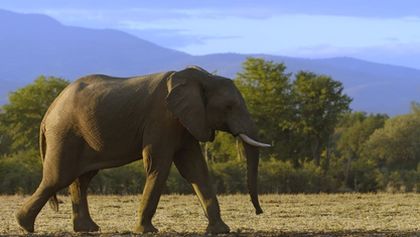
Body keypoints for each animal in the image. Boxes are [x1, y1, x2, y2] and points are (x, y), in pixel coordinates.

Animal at [15, 65, 270, 234]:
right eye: (229, 106)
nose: (260, 212)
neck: (201, 77)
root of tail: (48, 113)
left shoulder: (184, 122)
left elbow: (195, 168)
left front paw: (221, 230)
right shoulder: (162, 119)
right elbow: (159, 165)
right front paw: (147, 231)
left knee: (81, 179)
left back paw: (88, 229)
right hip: (65, 133)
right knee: (58, 177)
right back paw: (24, 226)